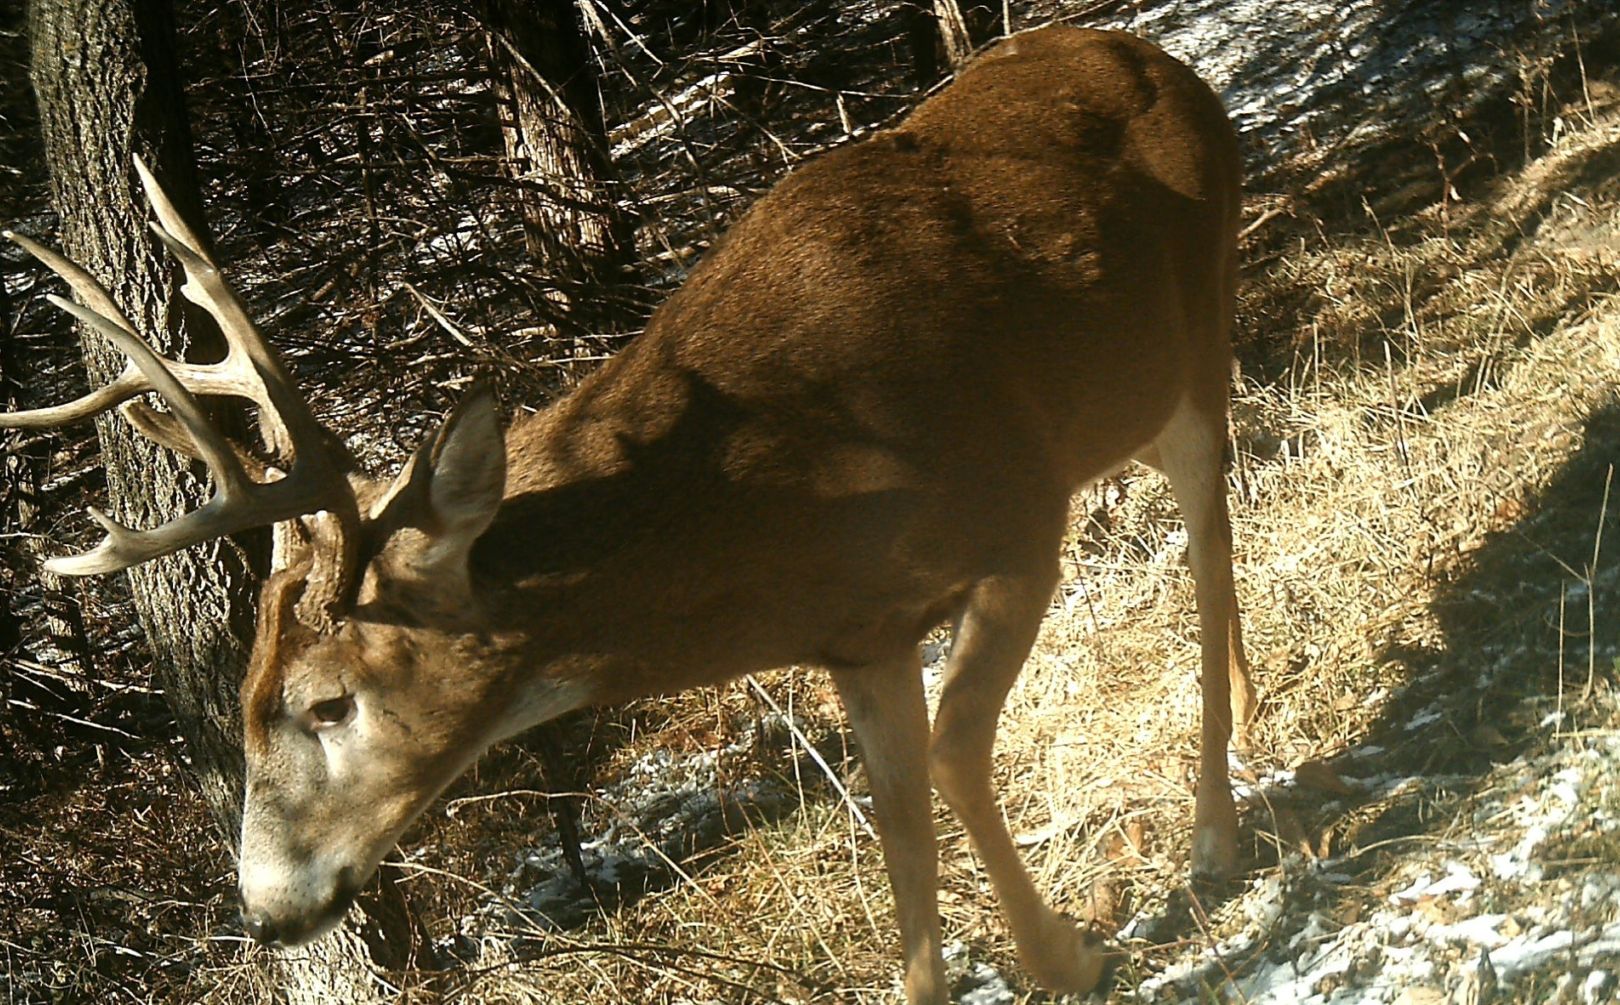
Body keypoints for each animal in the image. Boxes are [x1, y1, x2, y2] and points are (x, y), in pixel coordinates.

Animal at [3, 25, 1250, 1005]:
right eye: (242, 702)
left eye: (327, 702)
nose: (267, 911)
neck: (781, 503)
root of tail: (1170, 61)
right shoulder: (860, 637)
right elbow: (896, 829)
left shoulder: (1014, 523)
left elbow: (951, 754)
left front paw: (1070, 957)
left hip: (1195, 346)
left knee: (1209, 531)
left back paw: (1214, 829)